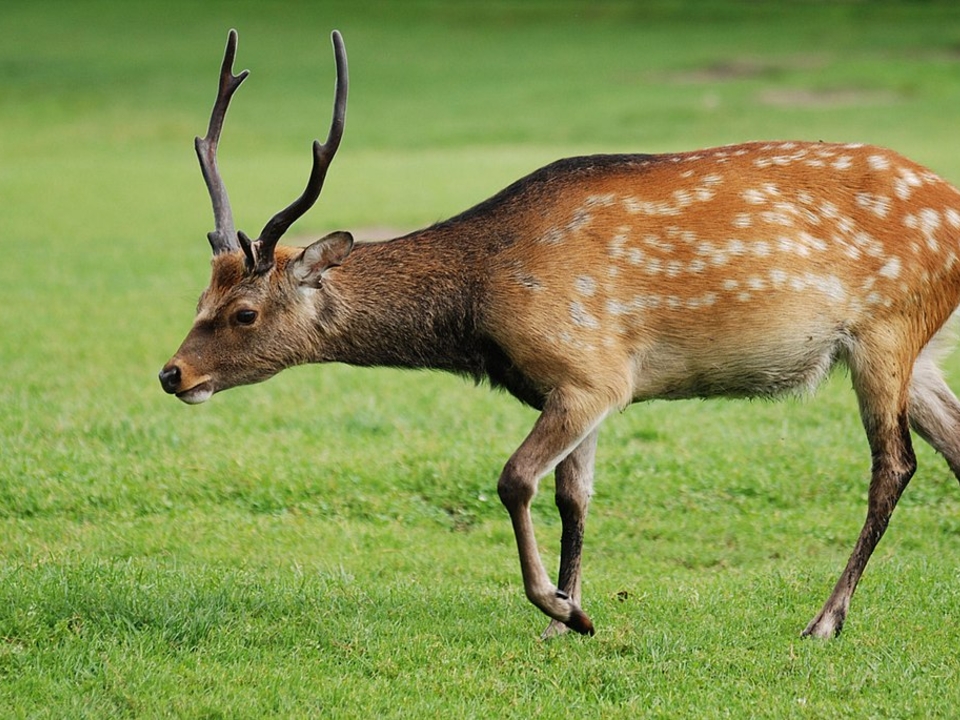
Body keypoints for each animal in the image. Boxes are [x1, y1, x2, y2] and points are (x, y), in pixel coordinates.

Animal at [159, 28, 960, 640]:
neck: (479, 308)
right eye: (200, 294)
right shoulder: (585, 387)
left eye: (245, 313)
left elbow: (515, 479)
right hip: (921, 351)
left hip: (886, 329)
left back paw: (824, 620)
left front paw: (562, 610)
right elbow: (575, 497)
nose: (172, 373)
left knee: (895, 465)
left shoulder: (588, 370)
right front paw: (567, 615)